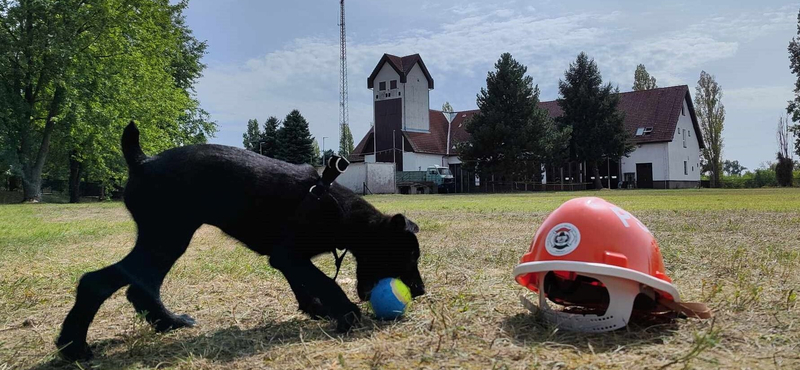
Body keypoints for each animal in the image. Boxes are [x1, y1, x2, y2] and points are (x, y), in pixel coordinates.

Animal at [56, 123, 424, 360]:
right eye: (408, 256)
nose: (419, 291)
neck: (341, 211)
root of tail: (142, 161)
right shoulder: (290, 256)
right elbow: (324, 282)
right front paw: (346, 313)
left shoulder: (286, 258)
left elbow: (303, 285)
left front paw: (316, 308)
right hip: (167, 238)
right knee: (96, 283)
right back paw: (73, 347)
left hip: (164, 241)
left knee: (138, 287)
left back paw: (169, 323)